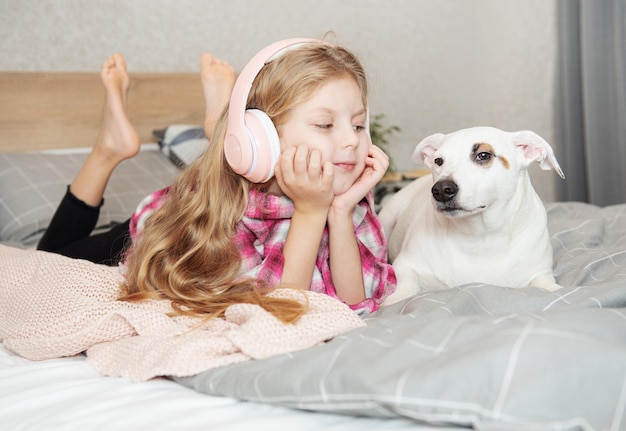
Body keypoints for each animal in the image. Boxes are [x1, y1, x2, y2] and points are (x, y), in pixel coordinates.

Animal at [378, 126, 564, 306]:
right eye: (438, 161)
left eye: (483, 155)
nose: (441, 190)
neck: (480, 236)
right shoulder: (405, 265)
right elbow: (403, 288)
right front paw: (393, 300)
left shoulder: (541, 273)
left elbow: (550, 287)